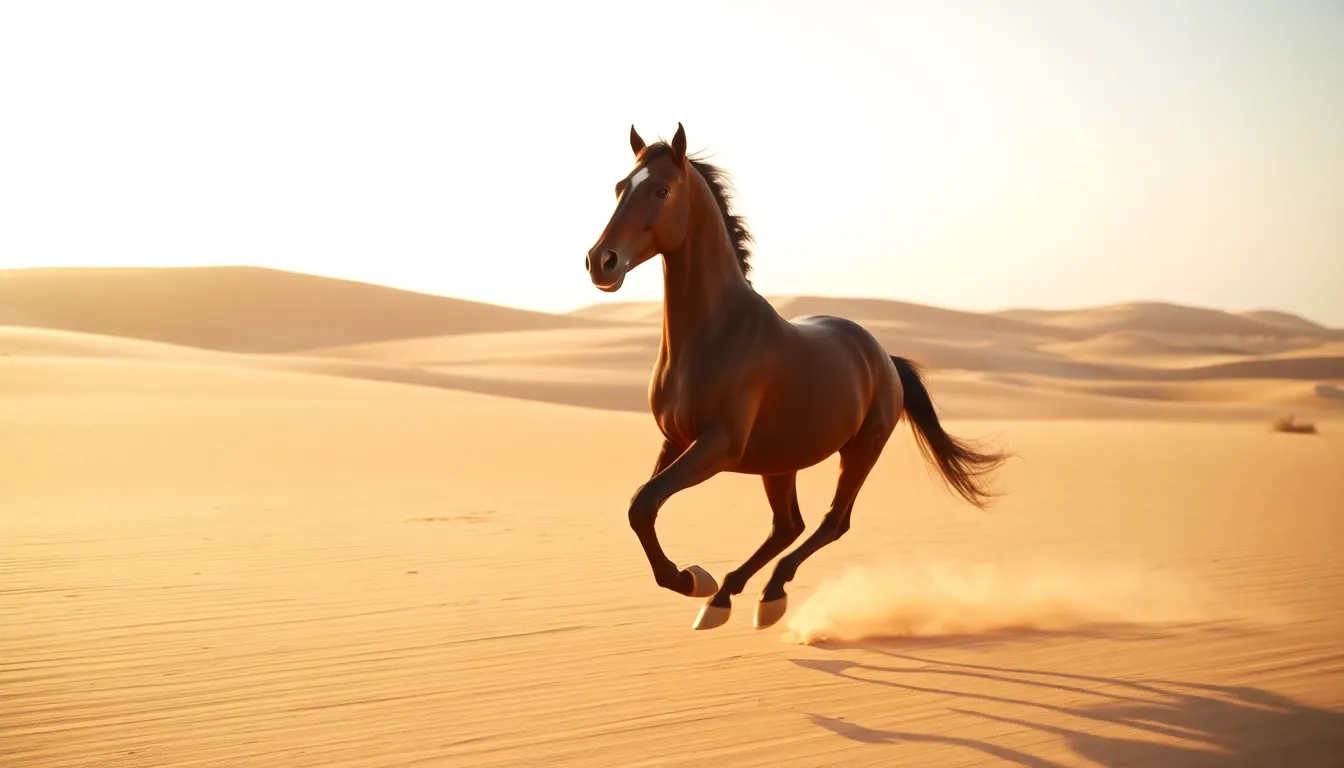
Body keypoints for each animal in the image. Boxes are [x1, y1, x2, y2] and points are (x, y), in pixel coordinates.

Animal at [583, 122, 1010, 631]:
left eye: (662, 190)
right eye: (619, 187)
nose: (601, 262)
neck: (713, 335)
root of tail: (883, 357)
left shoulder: (718, 445)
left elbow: (644, 503)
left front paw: (692, 579)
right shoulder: (675, 440)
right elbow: (640, 508)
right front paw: (698, 581)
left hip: (860, 451)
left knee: (831, 522)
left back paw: (768, 595)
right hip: (779, 461)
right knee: (789, 525)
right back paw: (725, 598)